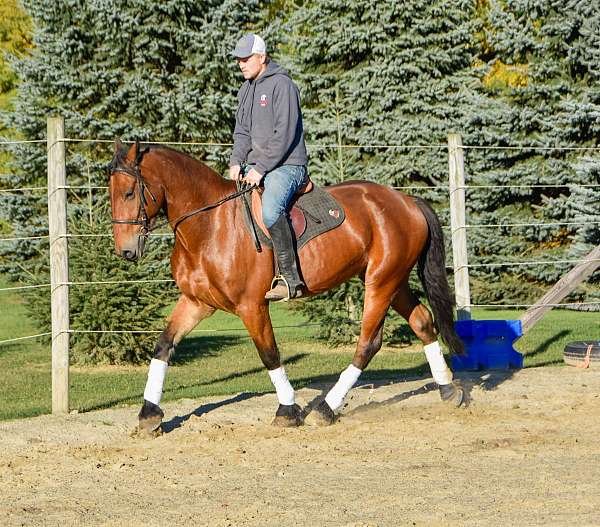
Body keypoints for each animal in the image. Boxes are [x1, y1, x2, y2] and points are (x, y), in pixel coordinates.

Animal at [108, 141, 464, 434]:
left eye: (129, 193)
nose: (125, 251)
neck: (210, 227)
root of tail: (406, 200)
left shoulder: (252, 306)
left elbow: (269, 355)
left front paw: (288, 410)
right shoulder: (197, 302)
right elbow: (163, 346)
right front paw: (149, 414)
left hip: (381, 282)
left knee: (368, 342)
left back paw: (326, 408)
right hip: (394, 280)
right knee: (422, 322)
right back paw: (448, 389)